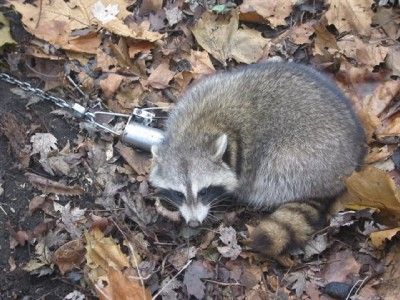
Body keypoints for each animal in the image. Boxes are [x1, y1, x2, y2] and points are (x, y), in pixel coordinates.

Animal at [148, 61, 366, 258]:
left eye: (204, 191)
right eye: (178, 194)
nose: (193, 223)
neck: (193, 133)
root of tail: (352, 161)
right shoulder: (194, 97)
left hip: (304, 158)